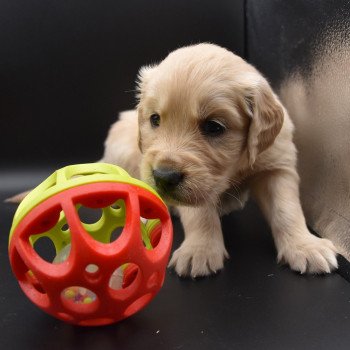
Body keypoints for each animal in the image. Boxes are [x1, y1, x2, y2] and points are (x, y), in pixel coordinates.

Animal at [104, 42, 340, 278]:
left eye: (213, 126)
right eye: (155, 119)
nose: (164, 177)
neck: (235, 167)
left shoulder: (276, 166)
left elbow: (287, 209)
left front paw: (306, 247)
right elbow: (199, 213)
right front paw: (199, 251)